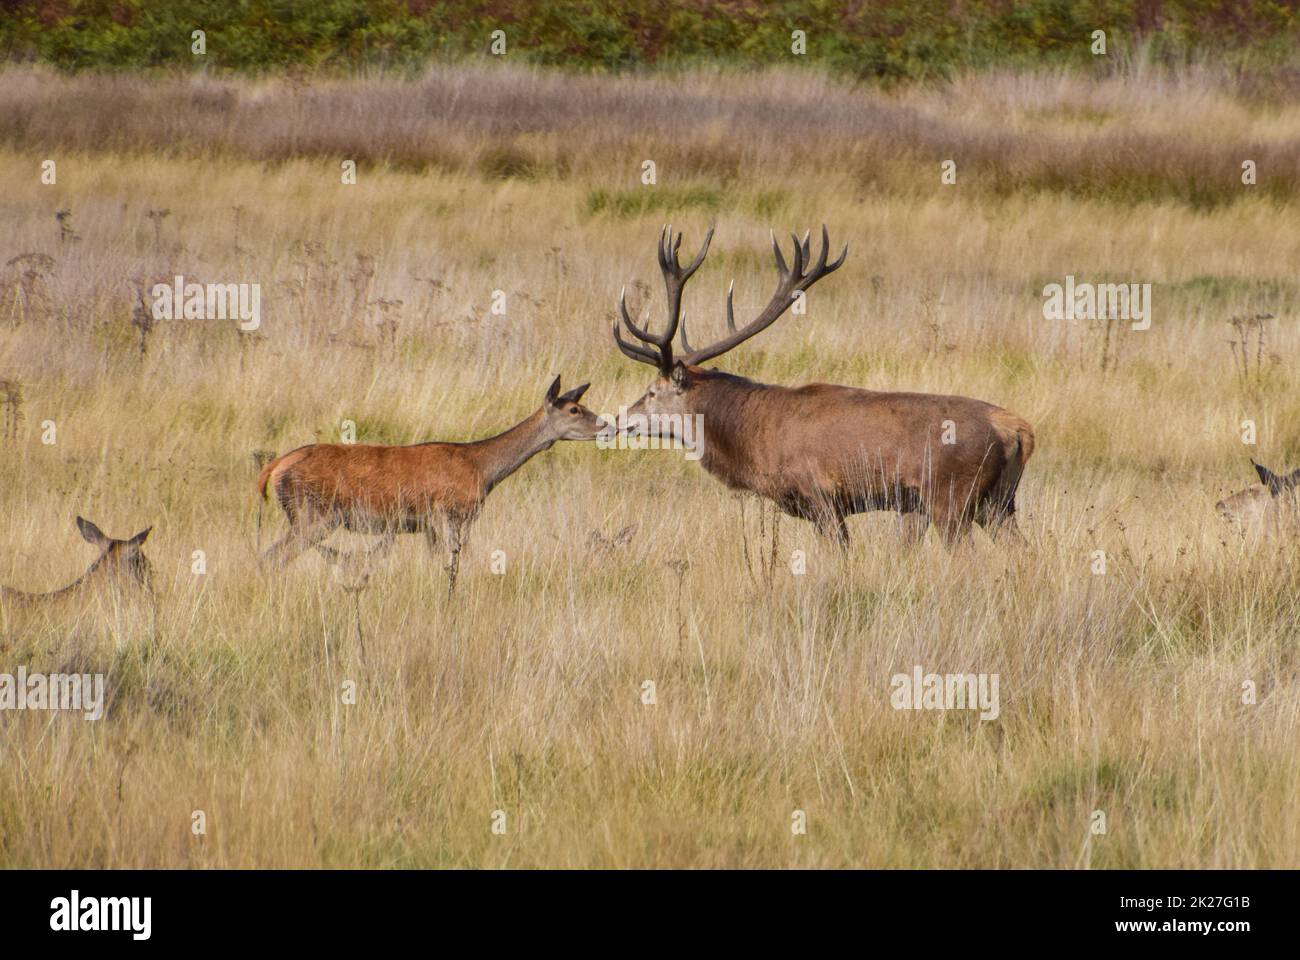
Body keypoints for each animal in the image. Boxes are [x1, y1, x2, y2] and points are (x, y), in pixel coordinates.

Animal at [257, 375, 608, 596]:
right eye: (574, 409)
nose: (608, 426)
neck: (483, 470)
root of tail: (274, 468)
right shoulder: (451, 513)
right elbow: (453, 566)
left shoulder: (427, 525)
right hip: (314, 514)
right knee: (272, 557)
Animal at [612, 225, 1036, 546]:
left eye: (652, 391)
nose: (618, 419)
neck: (755, 439)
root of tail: (1018, 430)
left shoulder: (822, 497)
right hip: (999, 503)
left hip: (951, 498)